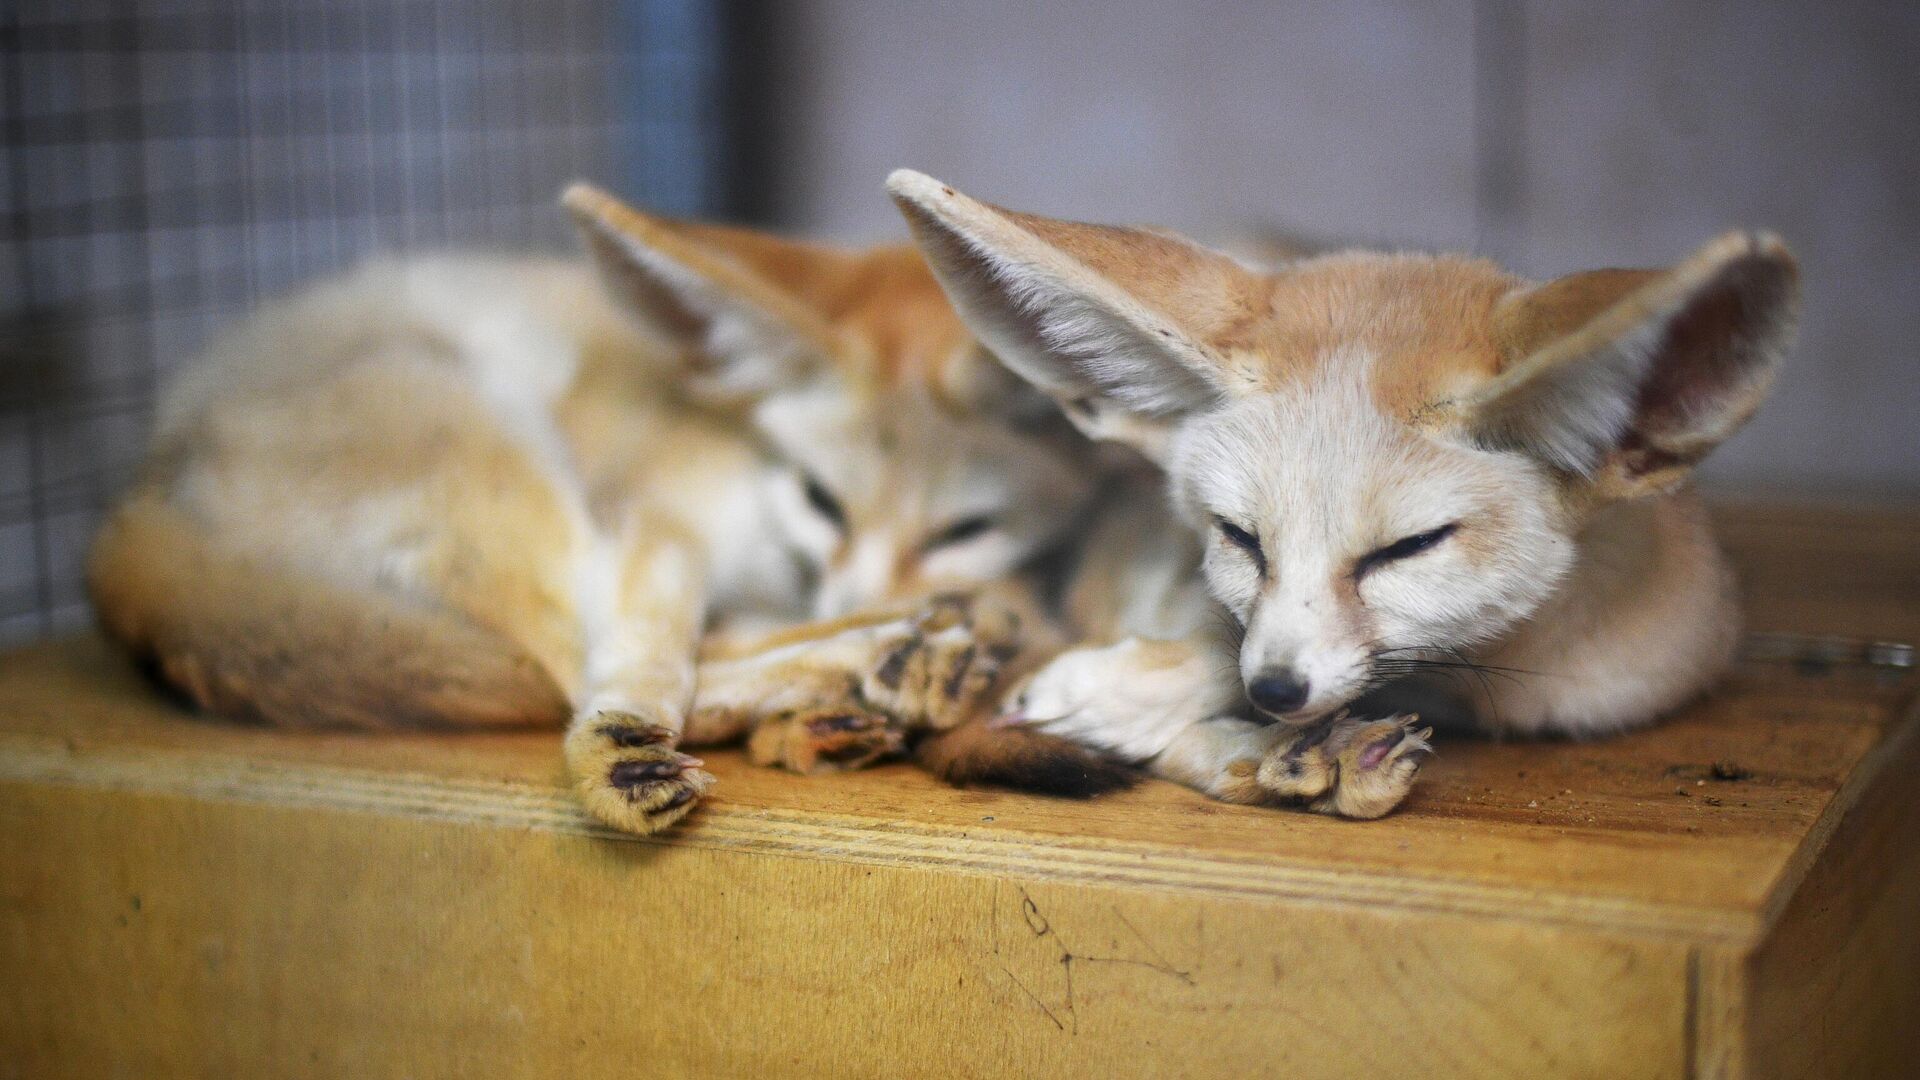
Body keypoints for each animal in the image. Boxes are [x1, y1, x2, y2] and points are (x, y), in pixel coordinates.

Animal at [90, 182, 1128, 834]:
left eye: (965, 529)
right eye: (819, 499)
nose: (844, 599)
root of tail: (135, 494)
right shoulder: (655, 515)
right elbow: (646, 659)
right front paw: (623, 752)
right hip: (494, 443)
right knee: (564, 659)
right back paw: (865, 663)